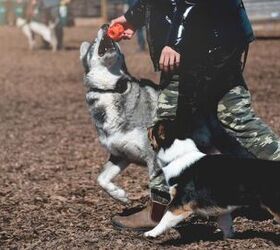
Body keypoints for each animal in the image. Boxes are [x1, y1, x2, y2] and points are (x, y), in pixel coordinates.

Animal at [80, 23, 161, 203]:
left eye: (117, 45)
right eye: (94, 42)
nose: (105, 25)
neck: (111, 89)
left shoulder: (153, 157)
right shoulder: (121, 155)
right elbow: (101, 179)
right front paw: (120, 195)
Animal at [144, 120, 280, 239]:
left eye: (153, 129)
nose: (147, 127)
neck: (179, 156)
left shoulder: (180, 204)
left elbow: (165, 218)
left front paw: (151, 233)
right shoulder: (223, 207)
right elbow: (226, 224)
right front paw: (228, 238)